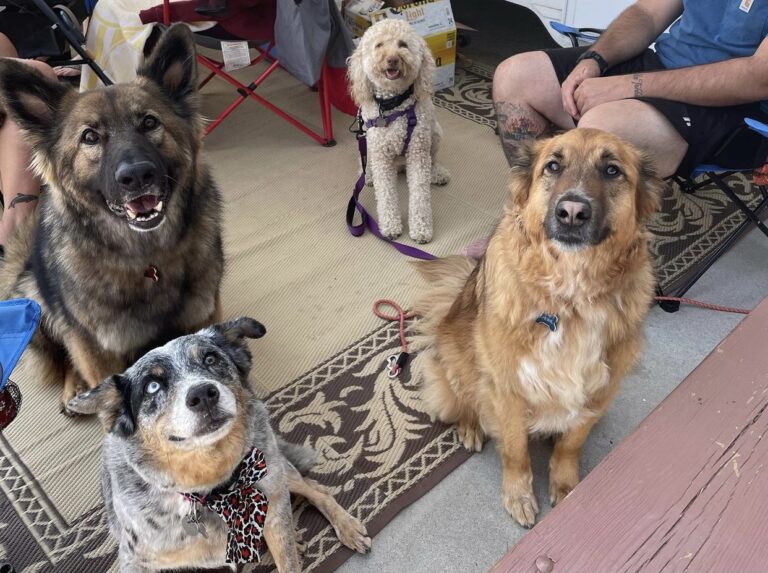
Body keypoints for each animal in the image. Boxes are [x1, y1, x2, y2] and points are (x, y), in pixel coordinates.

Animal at [0, 25, 222, 412]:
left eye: (149, 122)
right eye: (90, 136)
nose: (137, 175)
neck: (148, 259)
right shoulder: (100, 352)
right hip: (37, 298)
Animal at [414, 130, 660, 528]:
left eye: (612, 170)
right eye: (553, 166)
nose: (572, 211)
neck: (570, 299)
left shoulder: (599, 392)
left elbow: (570, 444)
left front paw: (566, 485)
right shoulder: (508, 389)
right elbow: (516, 451)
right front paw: (519, 495)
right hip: (458, 358)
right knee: (463, 397)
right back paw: (470, 425)